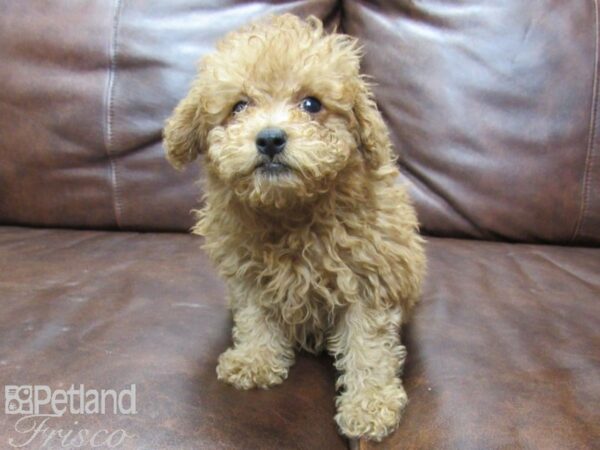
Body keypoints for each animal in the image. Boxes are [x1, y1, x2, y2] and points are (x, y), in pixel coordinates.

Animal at [164, 14, 424, 442]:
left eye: (311, 104)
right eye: (239, 106)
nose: (270, 138)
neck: (289, 210)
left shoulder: (368, 279)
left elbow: (368, 346)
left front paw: (369, 405)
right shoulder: (248, 273)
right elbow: (255, 316)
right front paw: (254, 359)